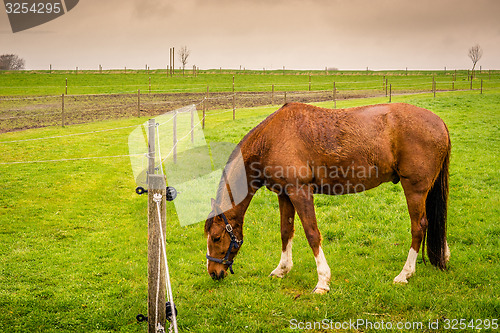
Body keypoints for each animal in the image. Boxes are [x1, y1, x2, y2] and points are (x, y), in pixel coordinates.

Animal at [203, 102, 450, 294]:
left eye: (216, 237)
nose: (214, 272)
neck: (272, 139)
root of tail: (440, 123)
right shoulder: (285, 194)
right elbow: (286, 231)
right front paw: (281, 270)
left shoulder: (300, 192)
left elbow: (312, 234)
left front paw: (322, 281)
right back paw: (443, 257)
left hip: (414, 189)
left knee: (419, 227)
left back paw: (404, 274)